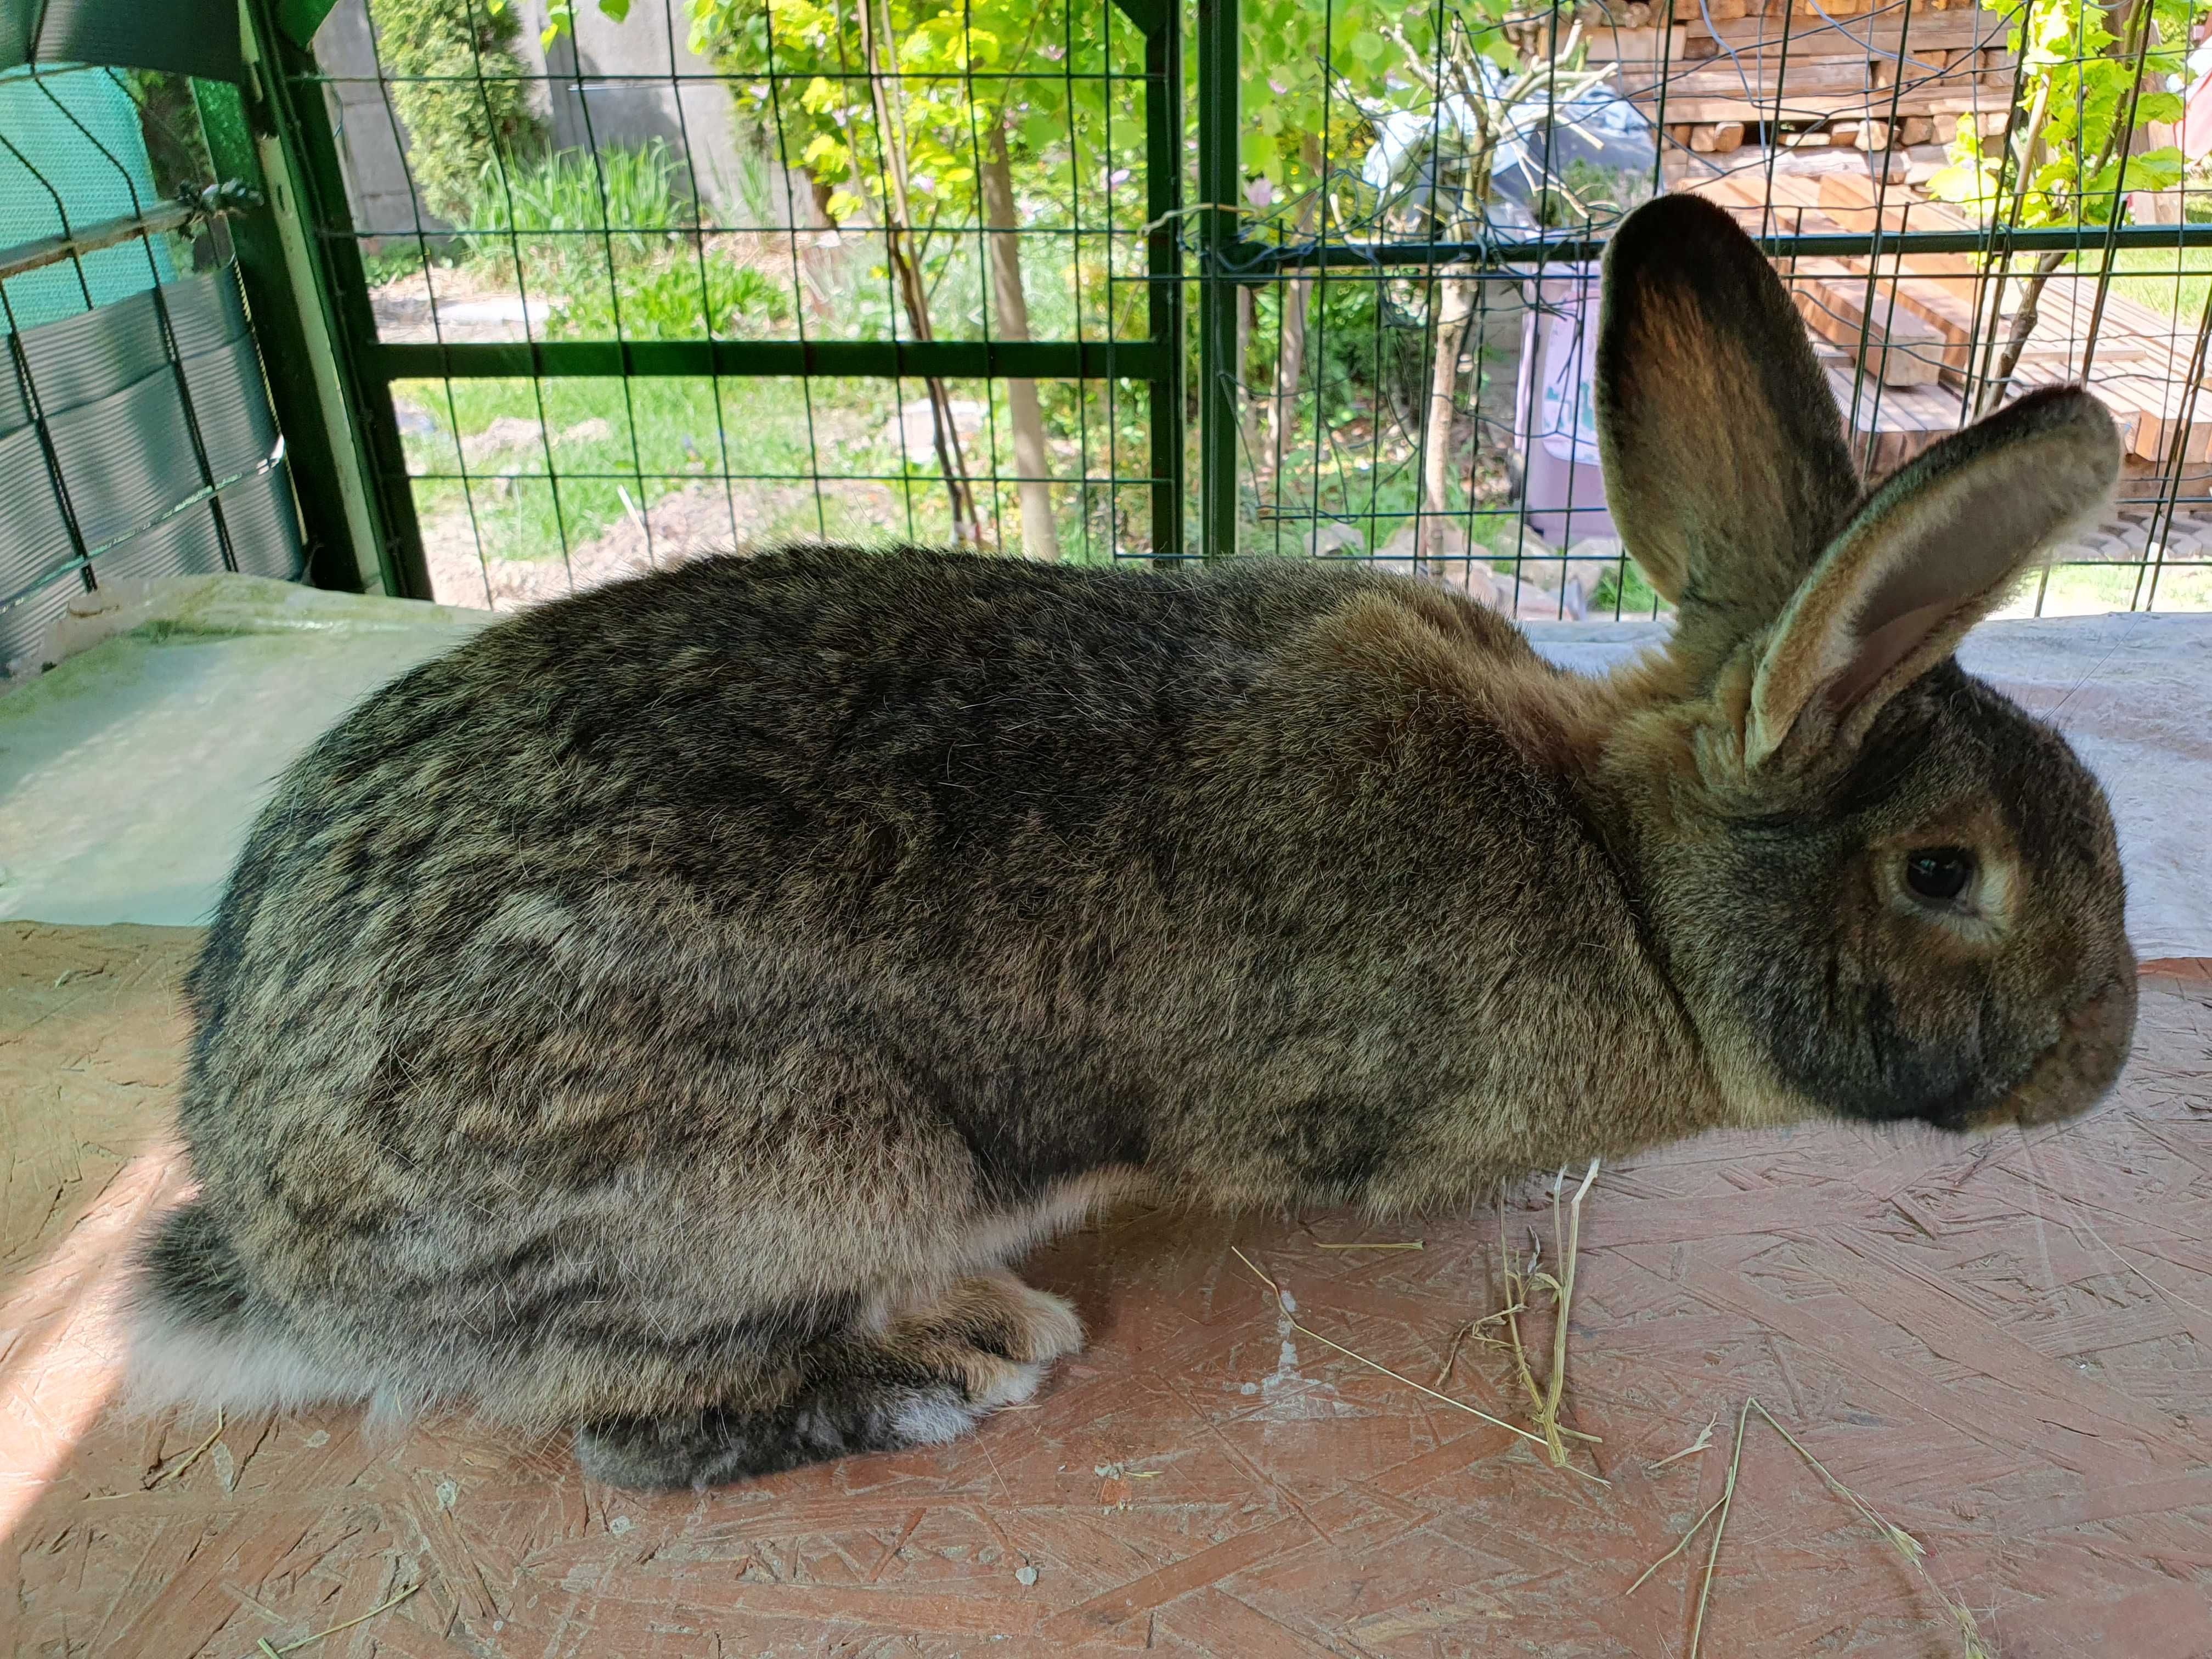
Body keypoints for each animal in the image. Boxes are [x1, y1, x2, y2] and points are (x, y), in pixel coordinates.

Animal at [129, 198, 2132, 1495]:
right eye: (1945, 875)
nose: (2104, 1061)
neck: (1627, 875)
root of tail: (271, 1242)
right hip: (795, 1167)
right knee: (621, 1418)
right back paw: (947, 1362)